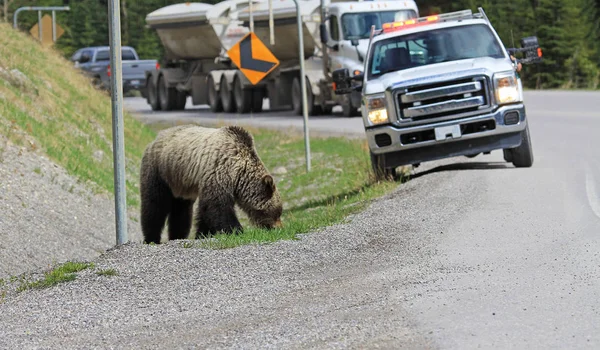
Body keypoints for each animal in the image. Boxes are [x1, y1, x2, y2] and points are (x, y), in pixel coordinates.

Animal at [139, 125, 282, 243]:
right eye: (277, 212)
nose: (278, 228)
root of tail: (155, 139)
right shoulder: (218, 170)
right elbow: (217, 207)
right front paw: (237, 231)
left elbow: (206, 211)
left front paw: (202, 234)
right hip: (160, 170)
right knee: (155, 204)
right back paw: (151, 238)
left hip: (180, 183)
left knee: (181, 211)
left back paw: (177, 235)